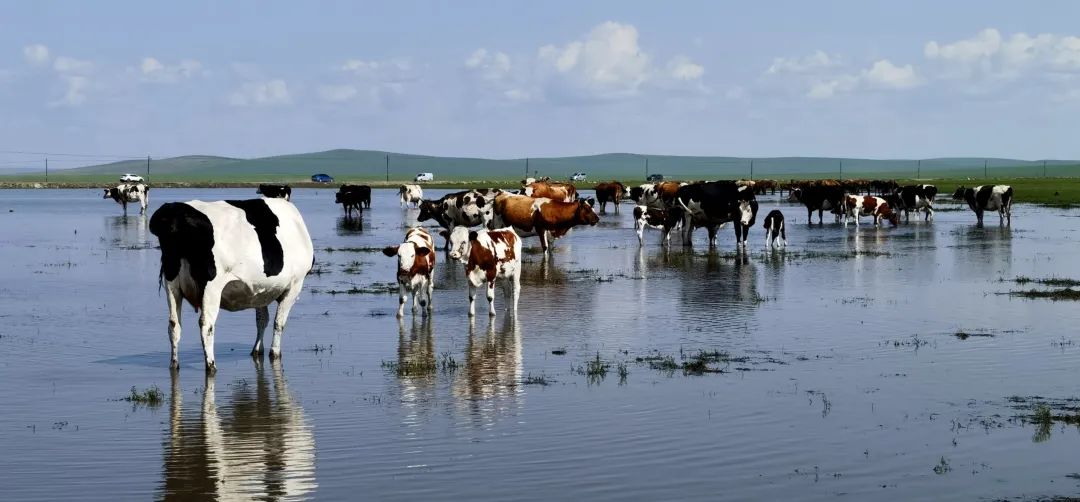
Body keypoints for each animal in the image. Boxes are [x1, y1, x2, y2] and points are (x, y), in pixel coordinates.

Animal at [145, 196, 313, 371]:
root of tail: (175, 212)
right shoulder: (295, 284)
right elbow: (278, 323)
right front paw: (274, 353)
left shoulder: (260, 290)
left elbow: (262, 320)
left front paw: (257, 350)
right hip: (211, 285)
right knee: (206, 325)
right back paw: (211, 365)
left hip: (171, 282)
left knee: (174, 324)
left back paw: (174, 364)